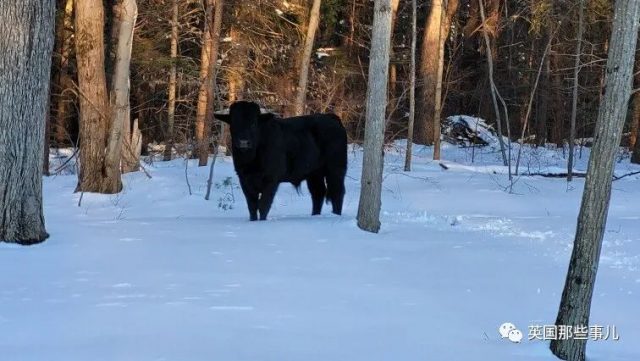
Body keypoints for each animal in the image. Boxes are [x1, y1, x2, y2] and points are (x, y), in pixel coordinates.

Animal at [215, 100, 348, 221]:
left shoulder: (271, 179)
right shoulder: (244, 179)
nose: (243, 142)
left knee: (337, 192)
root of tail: (331, 118)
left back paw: (335, 215)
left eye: (253, 123)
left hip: (336, 169)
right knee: (318, 193)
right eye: (234, 123)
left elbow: (263, 205)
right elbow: (252, 206)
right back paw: (315, 216)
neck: (251, 160)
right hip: (314, 173)